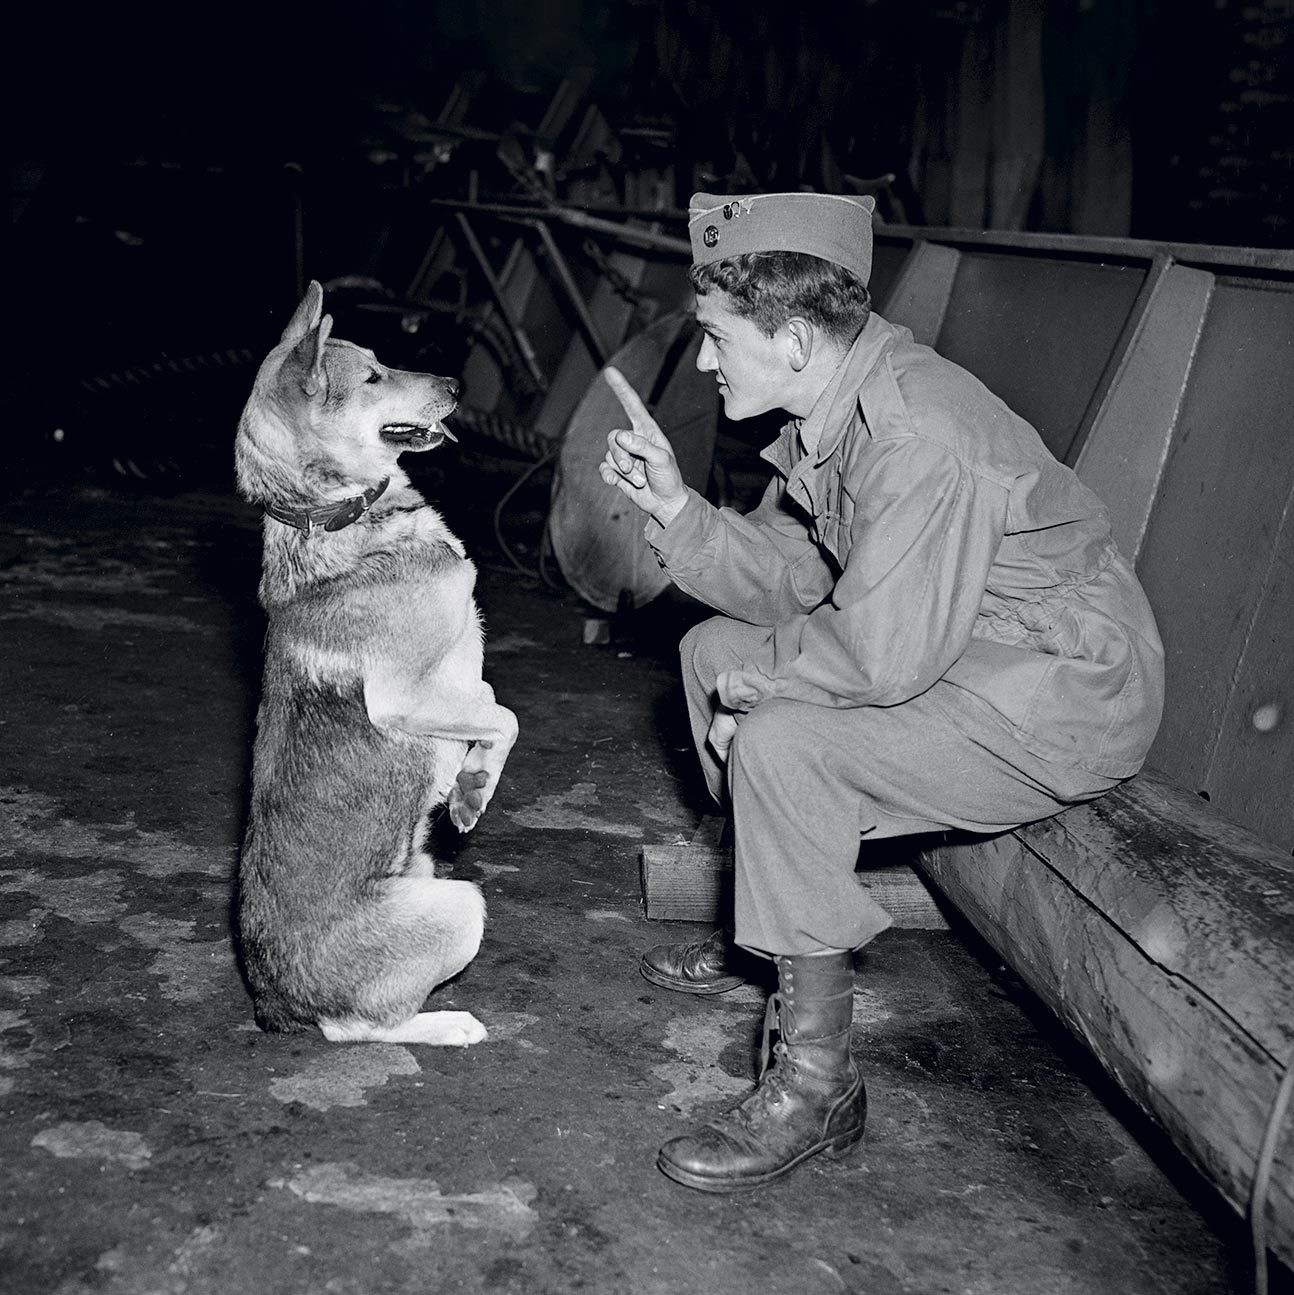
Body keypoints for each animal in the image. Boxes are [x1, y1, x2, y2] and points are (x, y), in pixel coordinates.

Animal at [235, 281, 518, 1041]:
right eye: (372, 378)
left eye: (382, 360)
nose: (458, 385)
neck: (335, 515)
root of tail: (277, 1005)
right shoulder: (403, 697)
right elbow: (506, 716)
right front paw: (473, 789)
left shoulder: (457, 682)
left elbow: (489, 707)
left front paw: (468, 782)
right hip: (459, 904)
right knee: (363, 1027)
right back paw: (449, 1025)